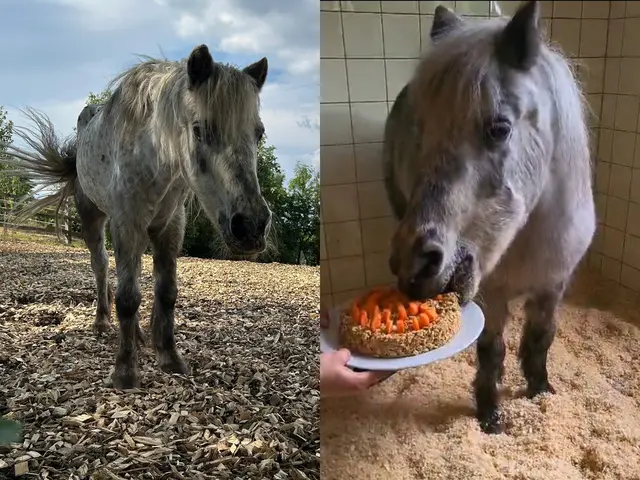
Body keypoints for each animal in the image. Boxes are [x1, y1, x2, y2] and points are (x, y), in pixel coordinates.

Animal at [1, 44, 272, 390]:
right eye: (199, 129)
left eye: (259, 133)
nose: (251, 227)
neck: (154, 156)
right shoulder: (126, 224)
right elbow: (127, 297)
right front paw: (125, 372)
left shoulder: (170, 227)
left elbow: (166, 292)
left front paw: (169, 358)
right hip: (93, 221)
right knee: (102, 268)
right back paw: (102, 322)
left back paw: (140, 334)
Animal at [383, 1, 595, 434]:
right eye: (420, 131)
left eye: (499, 128)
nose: (415, 264)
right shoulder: (491, 295)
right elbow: (491, 351)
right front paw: (490, 415)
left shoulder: (553, 286)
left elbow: (540, 337)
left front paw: (539, 390)